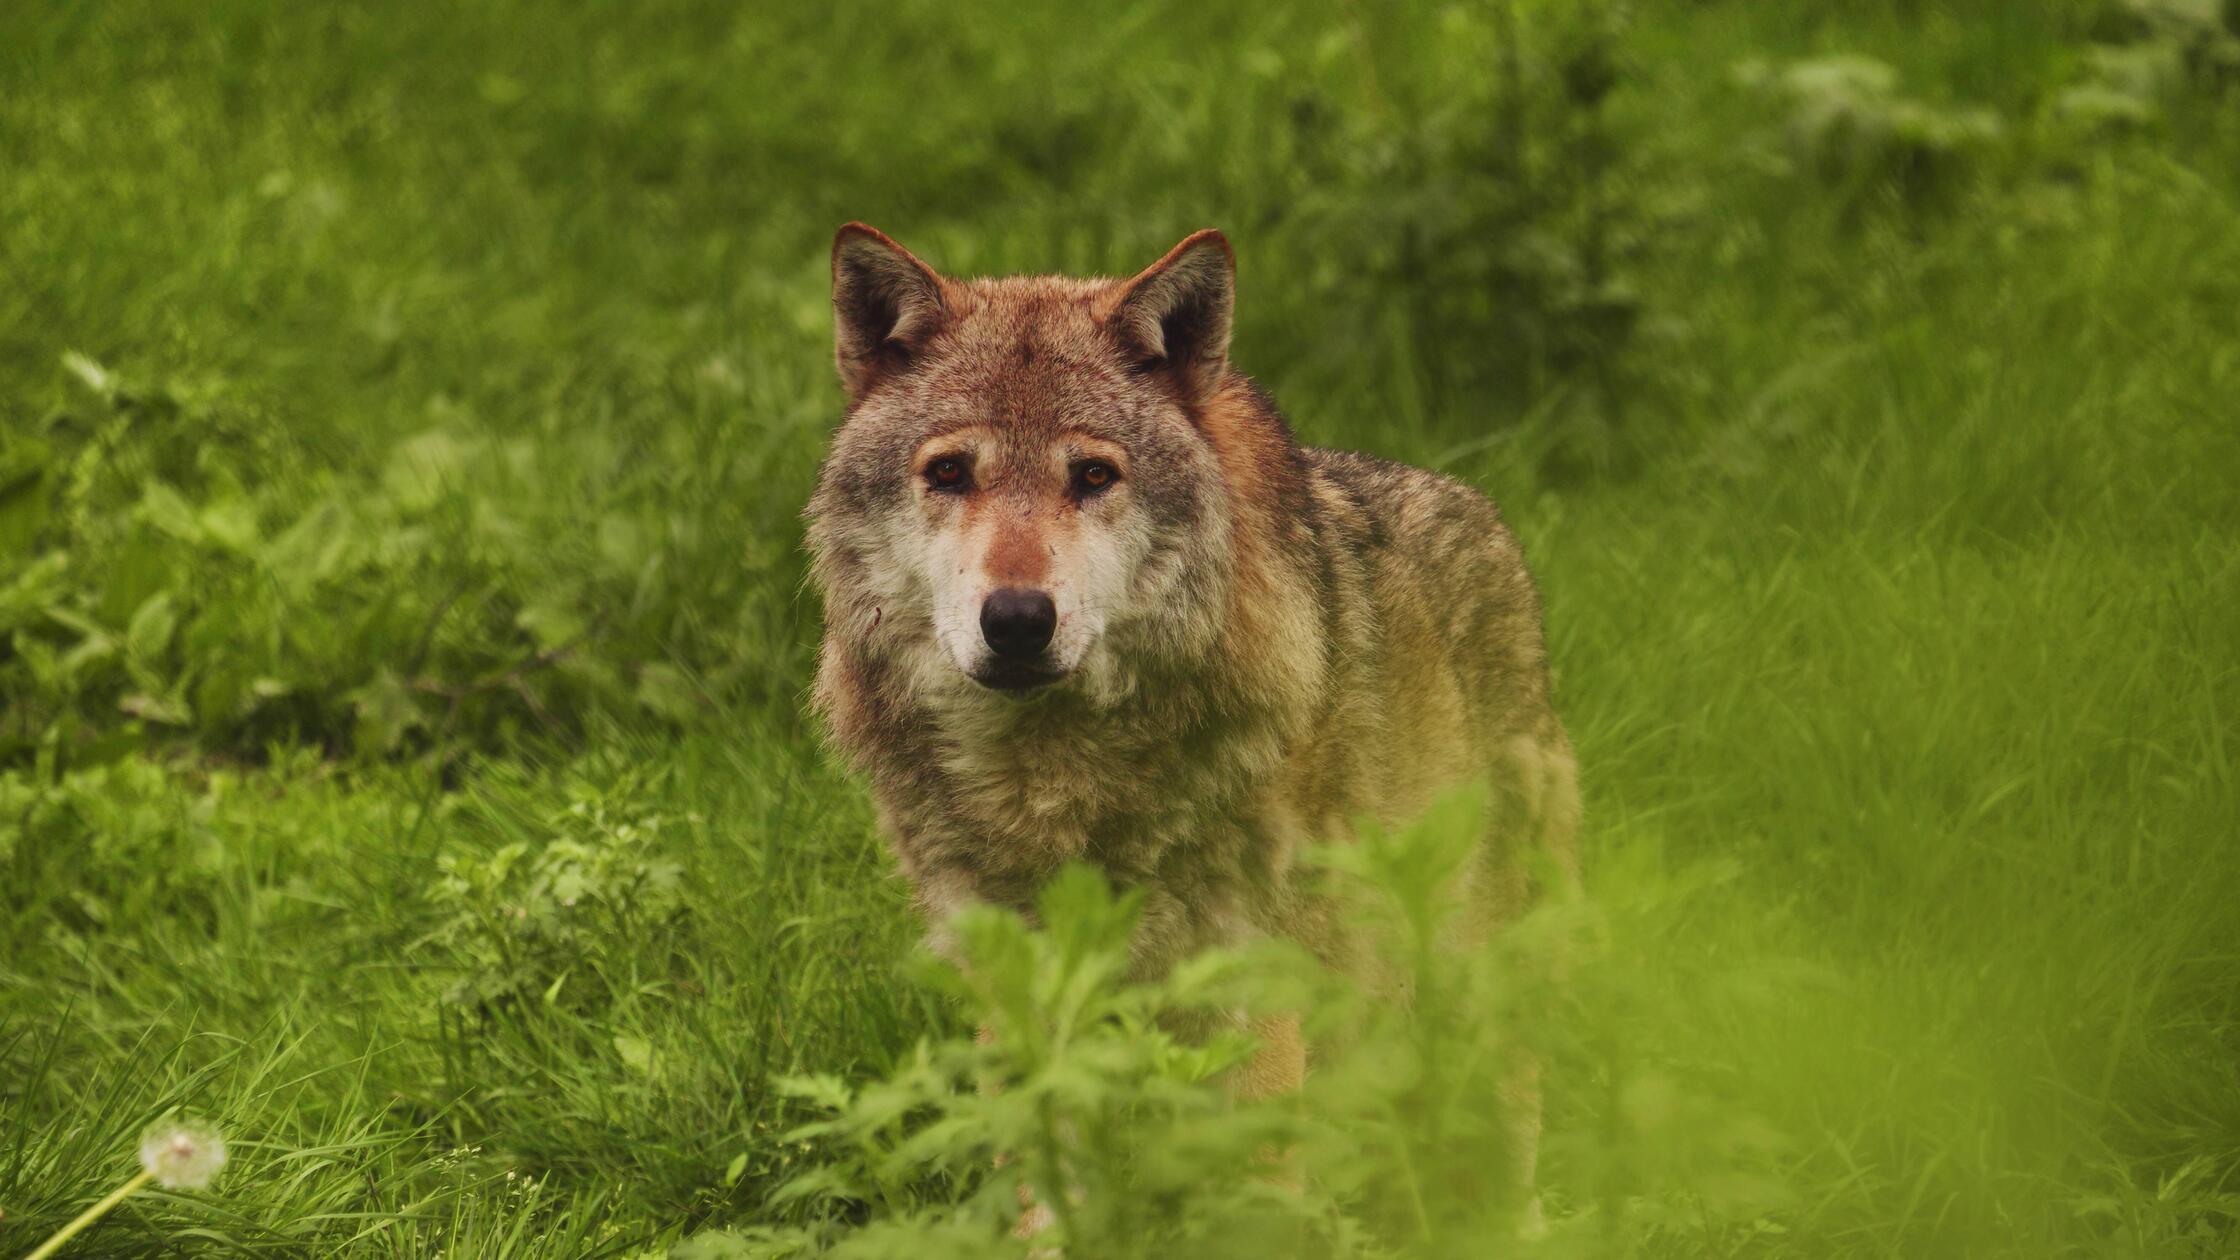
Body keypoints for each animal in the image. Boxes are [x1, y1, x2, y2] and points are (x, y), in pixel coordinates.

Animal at [804, 223, 1579, 1194]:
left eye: (1093, 475)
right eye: (948, 473)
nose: (1017, 620)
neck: (1052, 788)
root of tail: (1486, 516)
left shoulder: (1254, 1000)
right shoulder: (1022, 998)